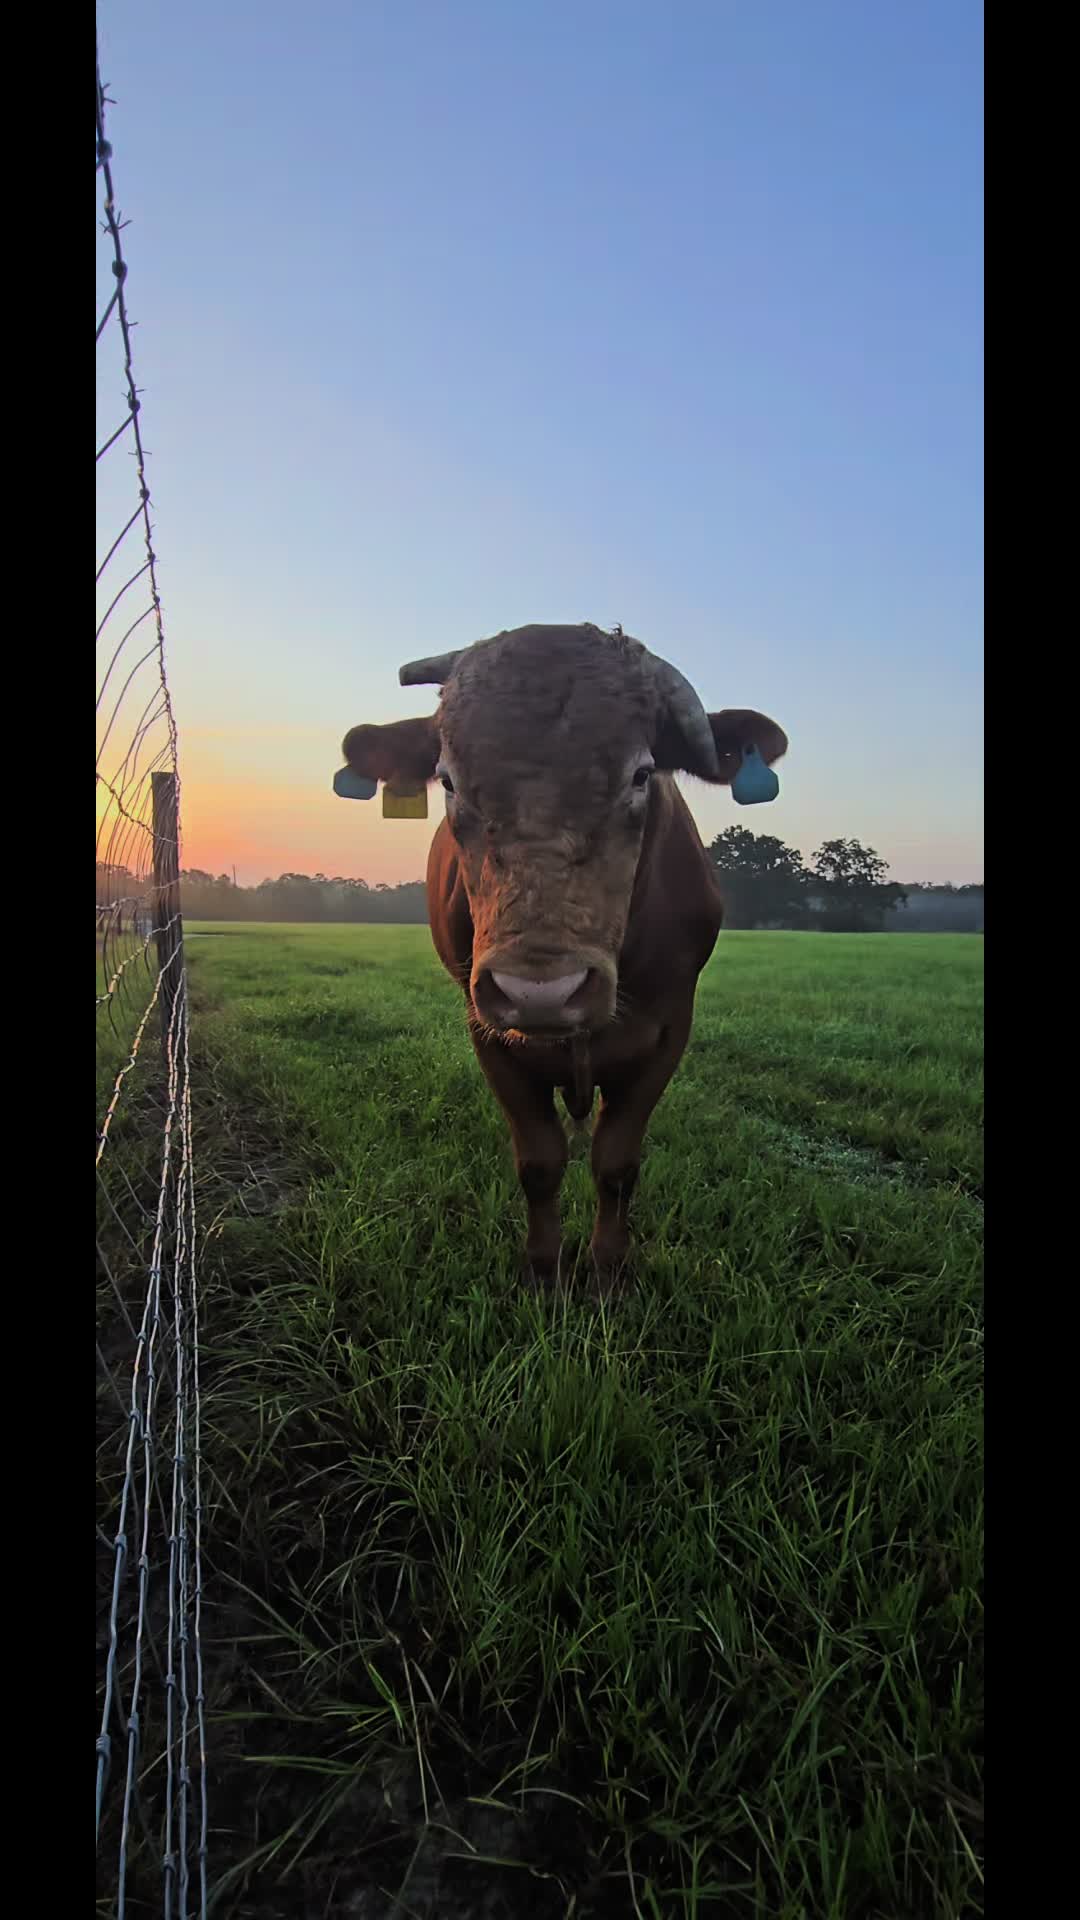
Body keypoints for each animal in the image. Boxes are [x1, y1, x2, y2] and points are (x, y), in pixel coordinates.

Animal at [336, 623, 787, 1284]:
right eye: (448, 781)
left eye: (642, 775)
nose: (540, 992)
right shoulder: (489, 1035)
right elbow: (540, 1162)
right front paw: (545, 1270)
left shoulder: (667, 1033)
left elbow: (616, 1164)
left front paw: (606, 1270)